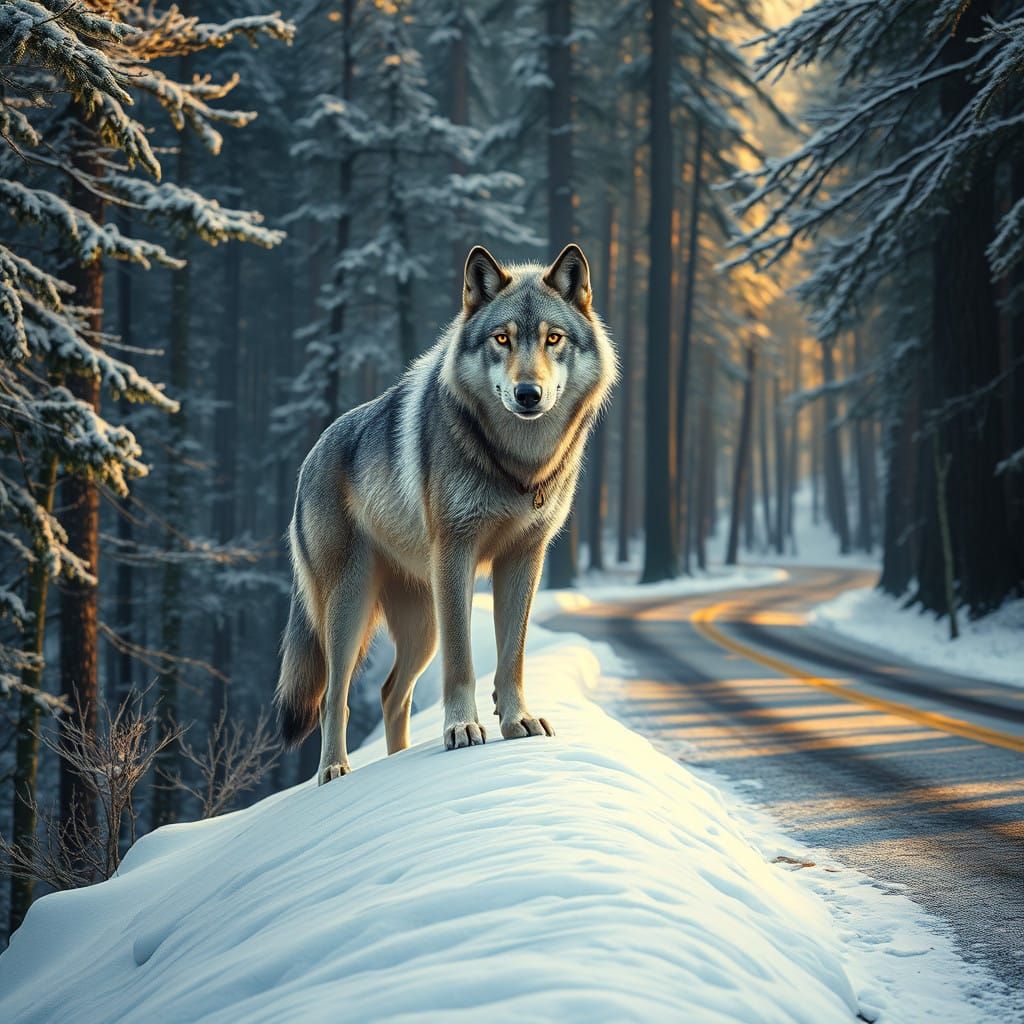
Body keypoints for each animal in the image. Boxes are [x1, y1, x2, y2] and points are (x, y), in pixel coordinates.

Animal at [275, 243, 618, 784]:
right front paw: (462, 730)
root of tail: (310, 457)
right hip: (351, 609)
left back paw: (394, 762)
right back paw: (335, 771)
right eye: (502, 339)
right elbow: (463, 663)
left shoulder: (526, 557)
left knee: (391, 693)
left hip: (421, 625)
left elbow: (513, 655)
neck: (517, 466)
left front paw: (517, 721)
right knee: (336, 696)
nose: (528, 394)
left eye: (553, 339)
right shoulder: (456, 554)